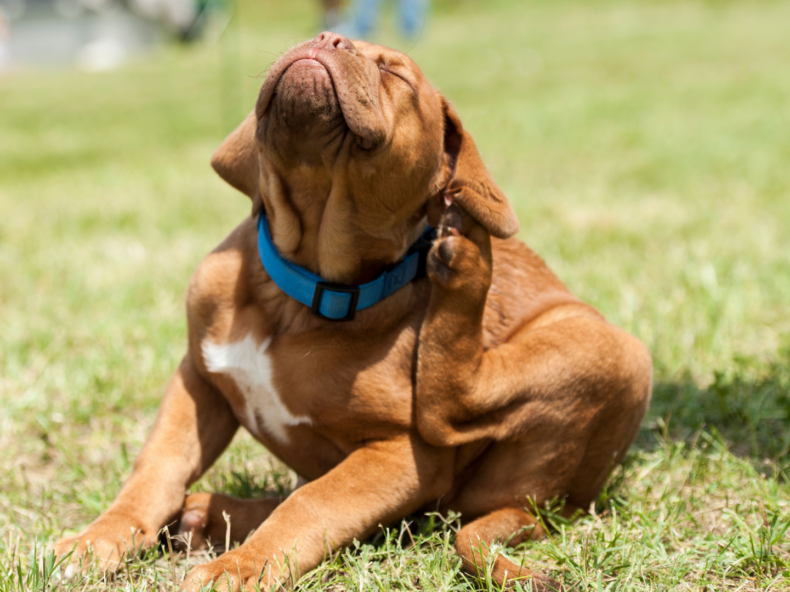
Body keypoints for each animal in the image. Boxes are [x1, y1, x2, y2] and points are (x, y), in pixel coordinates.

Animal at [52, 33, 652, 592]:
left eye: (397, 75)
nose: (327, 39)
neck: (300, 290)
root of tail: (548, 506)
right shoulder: (198, 380)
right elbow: (156, 469)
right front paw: (96, 540)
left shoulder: (402, 455)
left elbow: (314, 505)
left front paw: (239, 569)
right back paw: (207, 514)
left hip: (614, 351)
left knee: (451, 408)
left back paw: (468, 260)